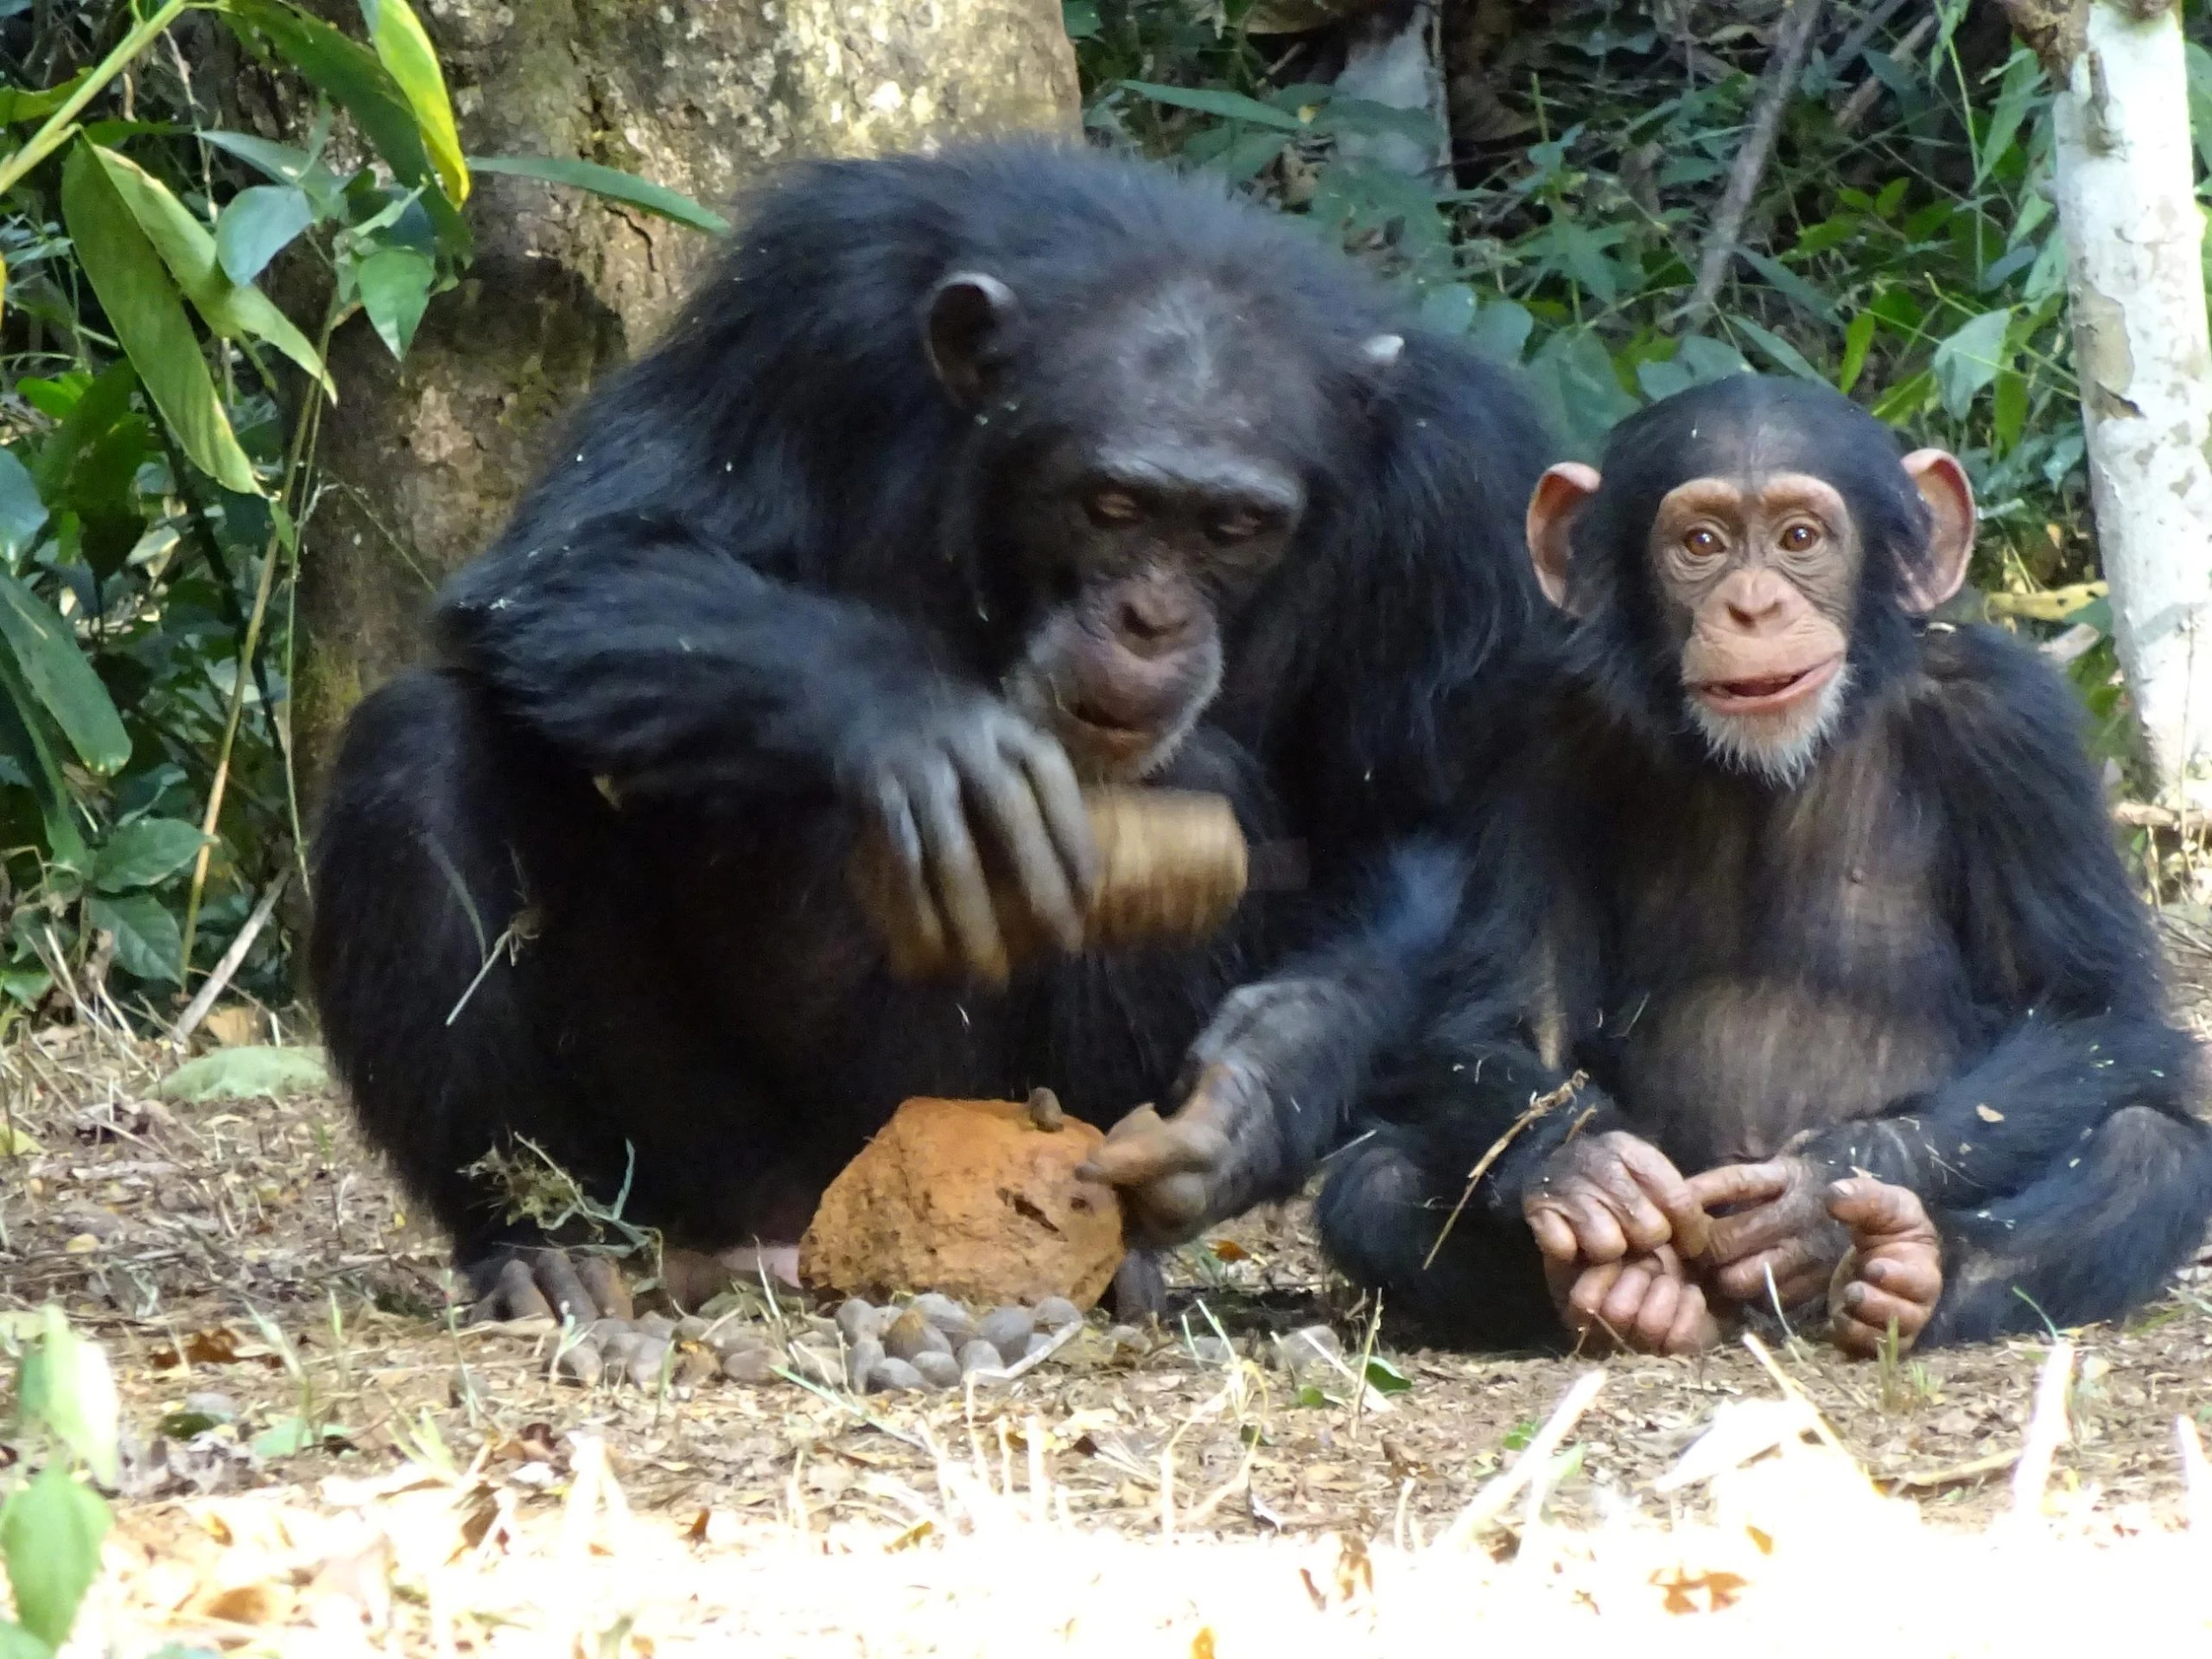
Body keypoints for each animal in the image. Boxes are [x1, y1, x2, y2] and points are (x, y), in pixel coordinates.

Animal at [307, 143, 1557, 1318]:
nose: (1149, 621)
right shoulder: (804, 300)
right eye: (1111, 505)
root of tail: (807, 1229)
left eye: (1234, 527)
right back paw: (539, 1246)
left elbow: (1423, 822)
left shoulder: (1456, 486)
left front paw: (1259, 1089)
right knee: (418, 747)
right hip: (689, 1155)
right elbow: (583, 554)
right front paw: (921, 731)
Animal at [1309, 376, 2212, 1362]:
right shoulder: (1535, 729)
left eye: (1799, 538)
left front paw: (1820, 1189)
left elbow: (2092, 1008)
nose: (1751, 607)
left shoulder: (2015, 725)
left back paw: (1906, 1272)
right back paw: (1622, 1295)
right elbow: (1508, 1013)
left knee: (2149, 1151)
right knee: (1374, 1181)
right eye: (1701, 544)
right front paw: (1586, 1163)